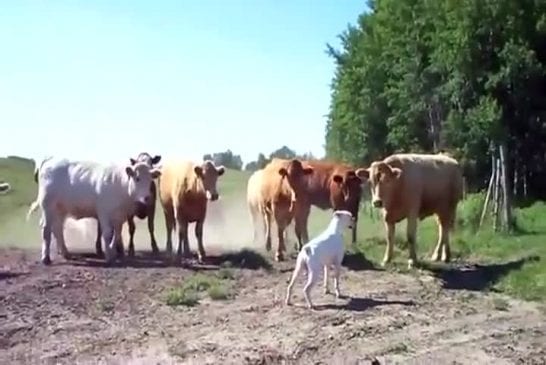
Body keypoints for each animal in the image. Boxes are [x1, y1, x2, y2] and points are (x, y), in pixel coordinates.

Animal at [26, 157, 160, 264]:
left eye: (150, 180)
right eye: (137, 178)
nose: (147, 197)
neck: (120, 184)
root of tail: (50, 160)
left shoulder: (120, 216)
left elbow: (117, 234)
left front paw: (112, 252)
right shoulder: (104, 212)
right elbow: (107, 233)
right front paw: (109, 255)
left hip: (60, 210)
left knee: (57, 228)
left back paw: (65, 253)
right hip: (48, 206)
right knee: (46, 229)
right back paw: (46, 257)